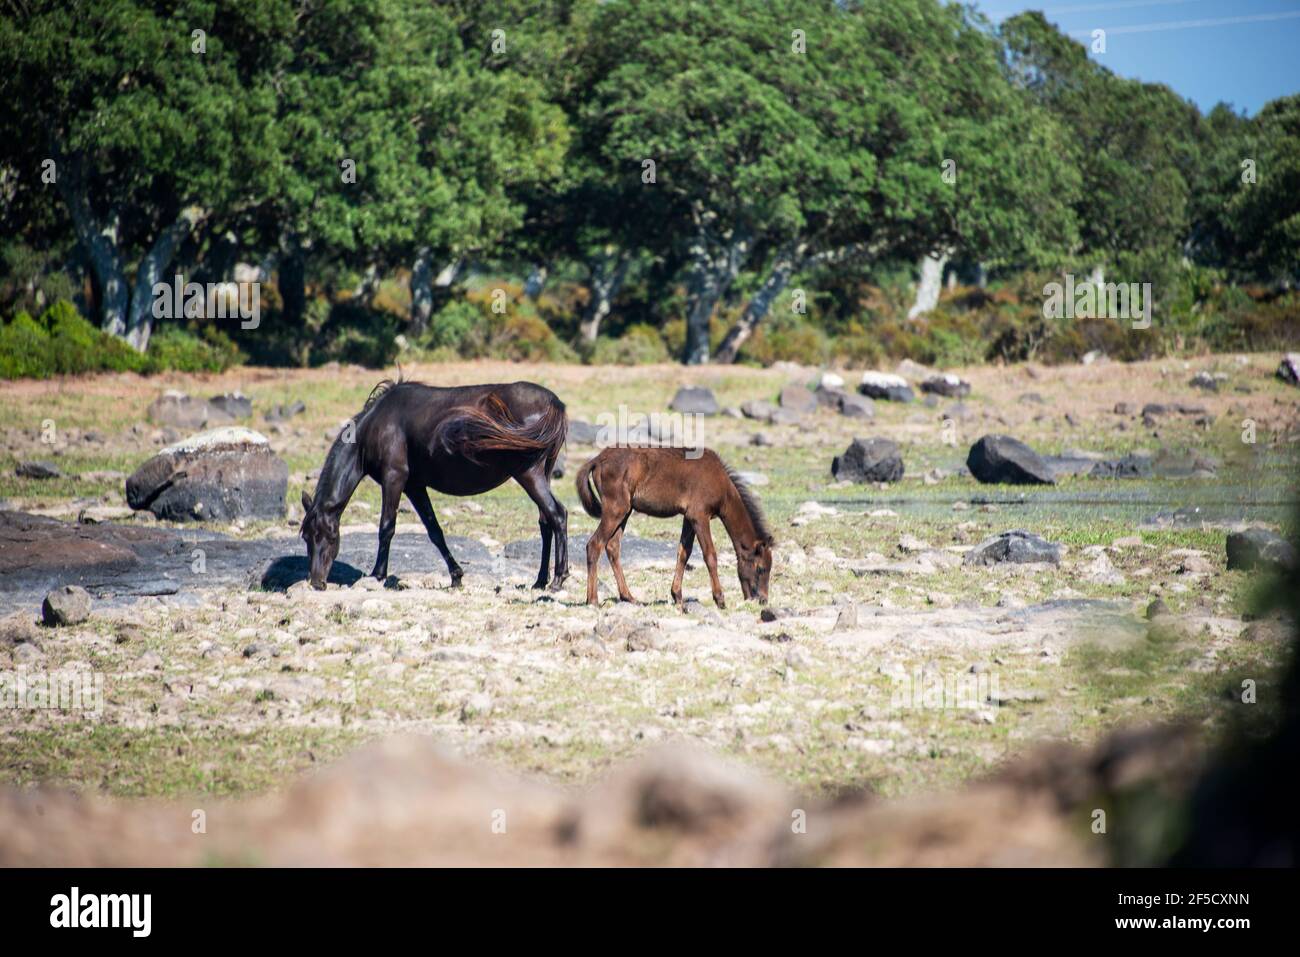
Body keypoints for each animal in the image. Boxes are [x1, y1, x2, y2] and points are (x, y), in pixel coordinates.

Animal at [299, 379, 568, 591]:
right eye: (306, 537)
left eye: (330, 534)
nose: (317, 582)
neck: (377, 424)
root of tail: (554, 402)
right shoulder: (415, 487)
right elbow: (434, 531)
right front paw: (456, 576)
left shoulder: (394, 478)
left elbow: (386, 527)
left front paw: (377, 575)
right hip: (541, 474)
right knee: (546, 522)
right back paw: (540, 581)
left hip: (529, 474)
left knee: (557, 514)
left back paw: (558, 579)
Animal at [575, 446, 774, 609]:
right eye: (761, 568)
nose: (763, 600)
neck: (722, 485)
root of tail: (597, 459)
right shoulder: (699, 516)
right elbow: (710, 555)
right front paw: (720, 599)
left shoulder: (689, 518)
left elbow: (683, 553)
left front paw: (677, 596)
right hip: (616, 509)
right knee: (594, 545)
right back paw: (592, 600)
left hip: (625, 511)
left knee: (612, 546)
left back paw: (628, 597)